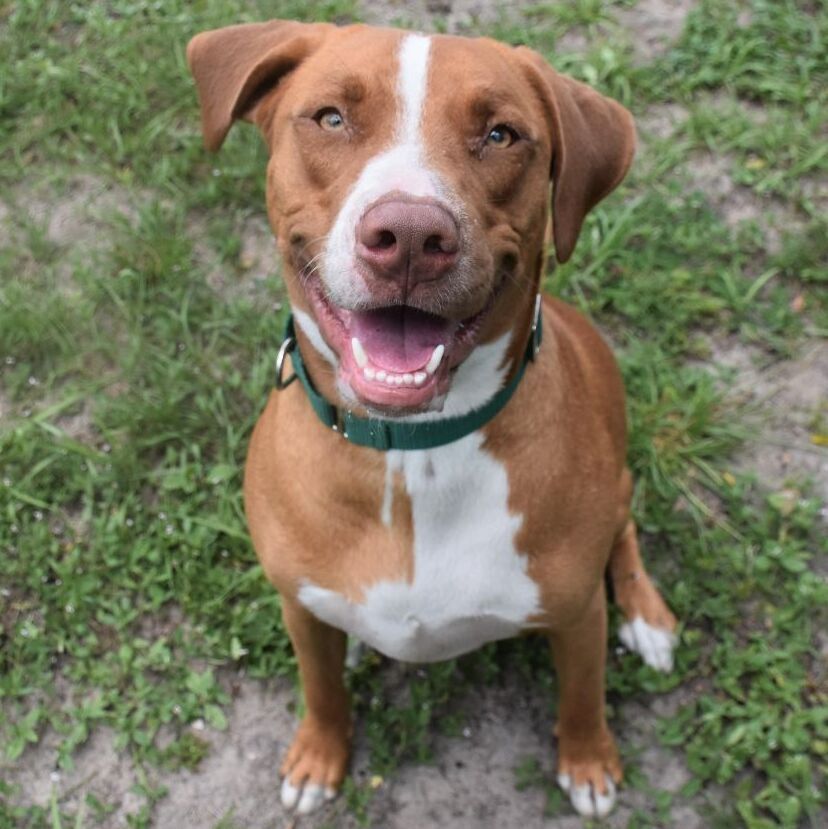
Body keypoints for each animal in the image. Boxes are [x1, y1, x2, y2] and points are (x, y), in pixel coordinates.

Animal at [188, 17, 680, 816]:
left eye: (502, 134)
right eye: (331, 117)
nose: (412, 236)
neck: (413, 452)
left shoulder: (577, 615)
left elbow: (582, 695)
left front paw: (589, 762)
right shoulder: (300, 606)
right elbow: (321, 688)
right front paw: (318, 756)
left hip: (617, 482)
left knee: (626, 526)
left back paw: (648, 617)